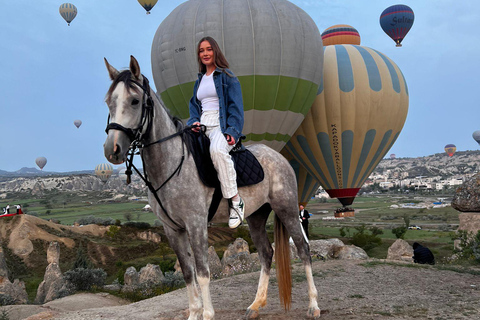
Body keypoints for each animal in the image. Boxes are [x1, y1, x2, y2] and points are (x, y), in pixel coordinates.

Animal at [103, 56, 320, 318]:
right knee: (266, 253)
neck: (172, 164)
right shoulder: (172, 229)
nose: (112, 149)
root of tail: (279, 157)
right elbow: (188, 273)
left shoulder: (196, 224)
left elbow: (203, 273)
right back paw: (255, 305)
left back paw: (313, 305)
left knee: (303, 249)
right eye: (109, 101)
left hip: (286, 209)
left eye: (135, 101)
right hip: (257, 216)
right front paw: (194, 313)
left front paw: (207, 314)